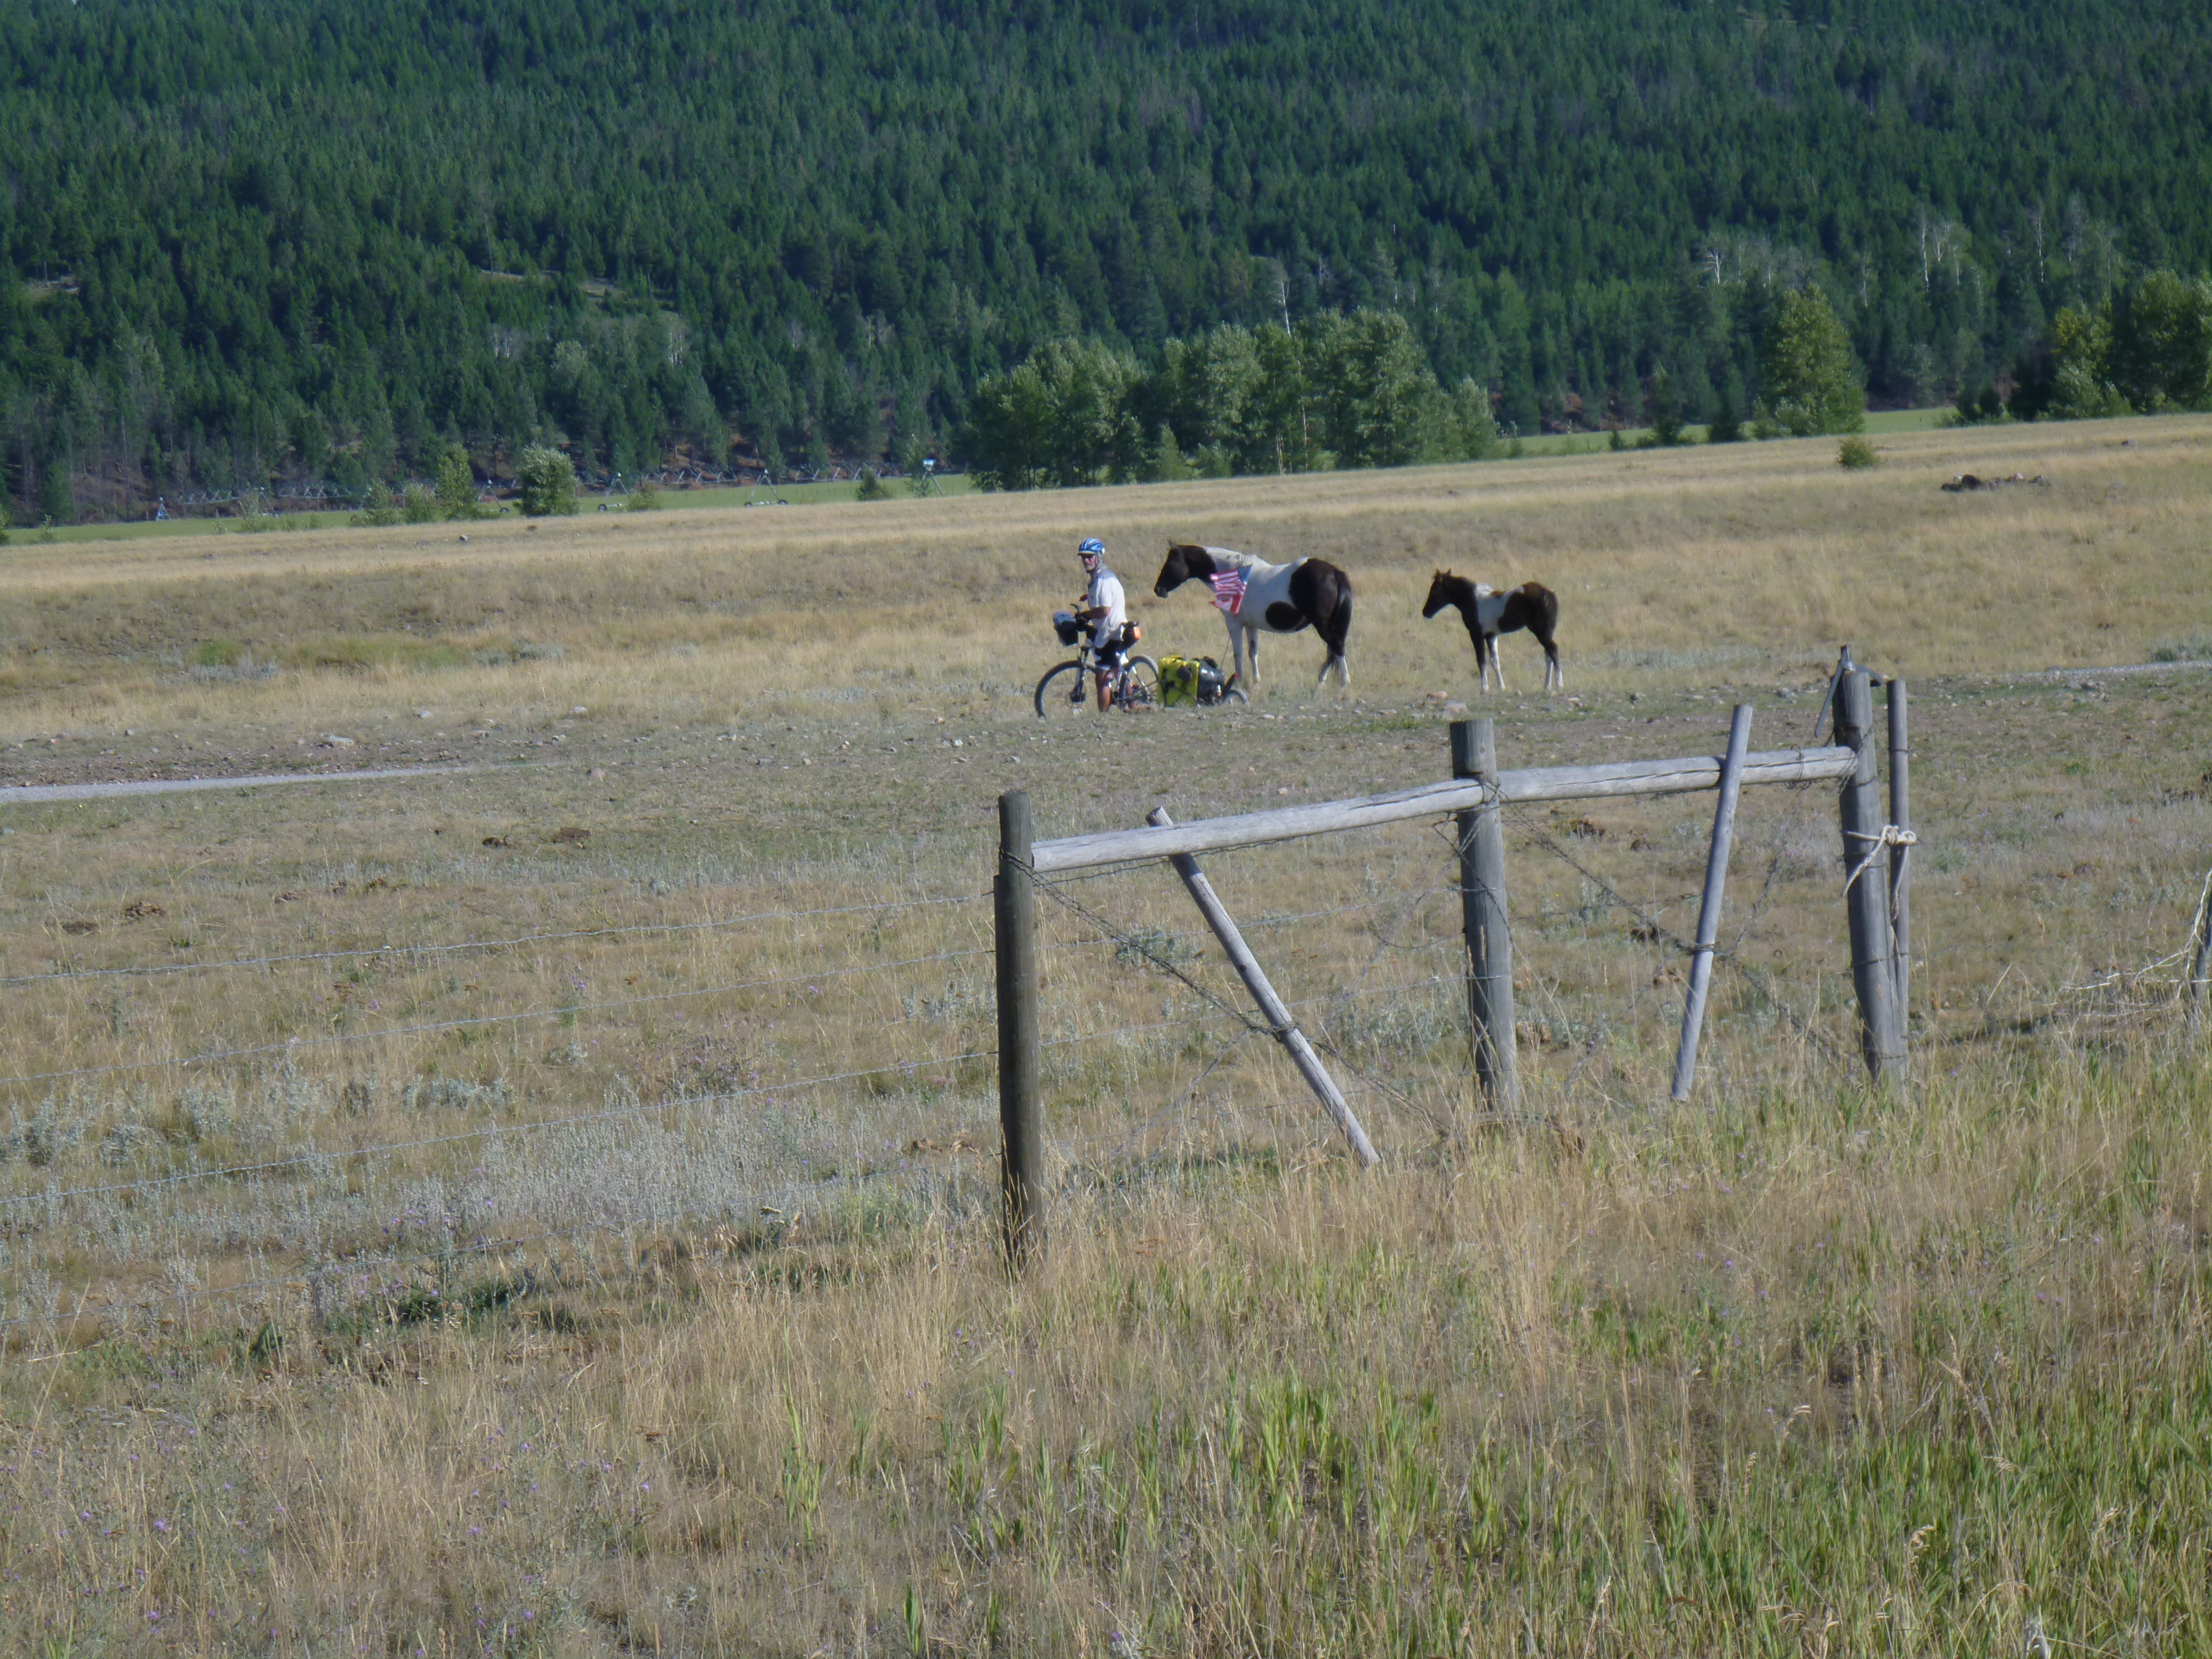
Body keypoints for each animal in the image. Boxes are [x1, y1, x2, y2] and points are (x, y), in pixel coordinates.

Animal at [1153, 544, 1354, 690]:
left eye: (1171, 563)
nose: (1158, 590)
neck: (1234, 575)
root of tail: (1335, 574)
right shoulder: (1251, 625)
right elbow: (1253, 652)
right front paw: (1256, 681)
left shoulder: (1234, 623)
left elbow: (1239, 653)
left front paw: (1238, 680)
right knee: (1332, 651)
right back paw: (1321, 681)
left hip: (1323, 624)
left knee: (1336, 647)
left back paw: (1344, 682)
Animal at [1421, 571, 1563, 693]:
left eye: (1434, 590)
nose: (1425, 612)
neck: (1473, 599)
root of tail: (1548, 594)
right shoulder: (1491, 636)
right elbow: (1495, 661)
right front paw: (1501, 687)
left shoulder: (1476, 635)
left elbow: (1482, 661)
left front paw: (1484, 688)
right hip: (1547, 631)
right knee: (1549, 655)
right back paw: (1547, 686)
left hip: (1541, 632)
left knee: (1553, 650)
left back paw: (1559, 683)